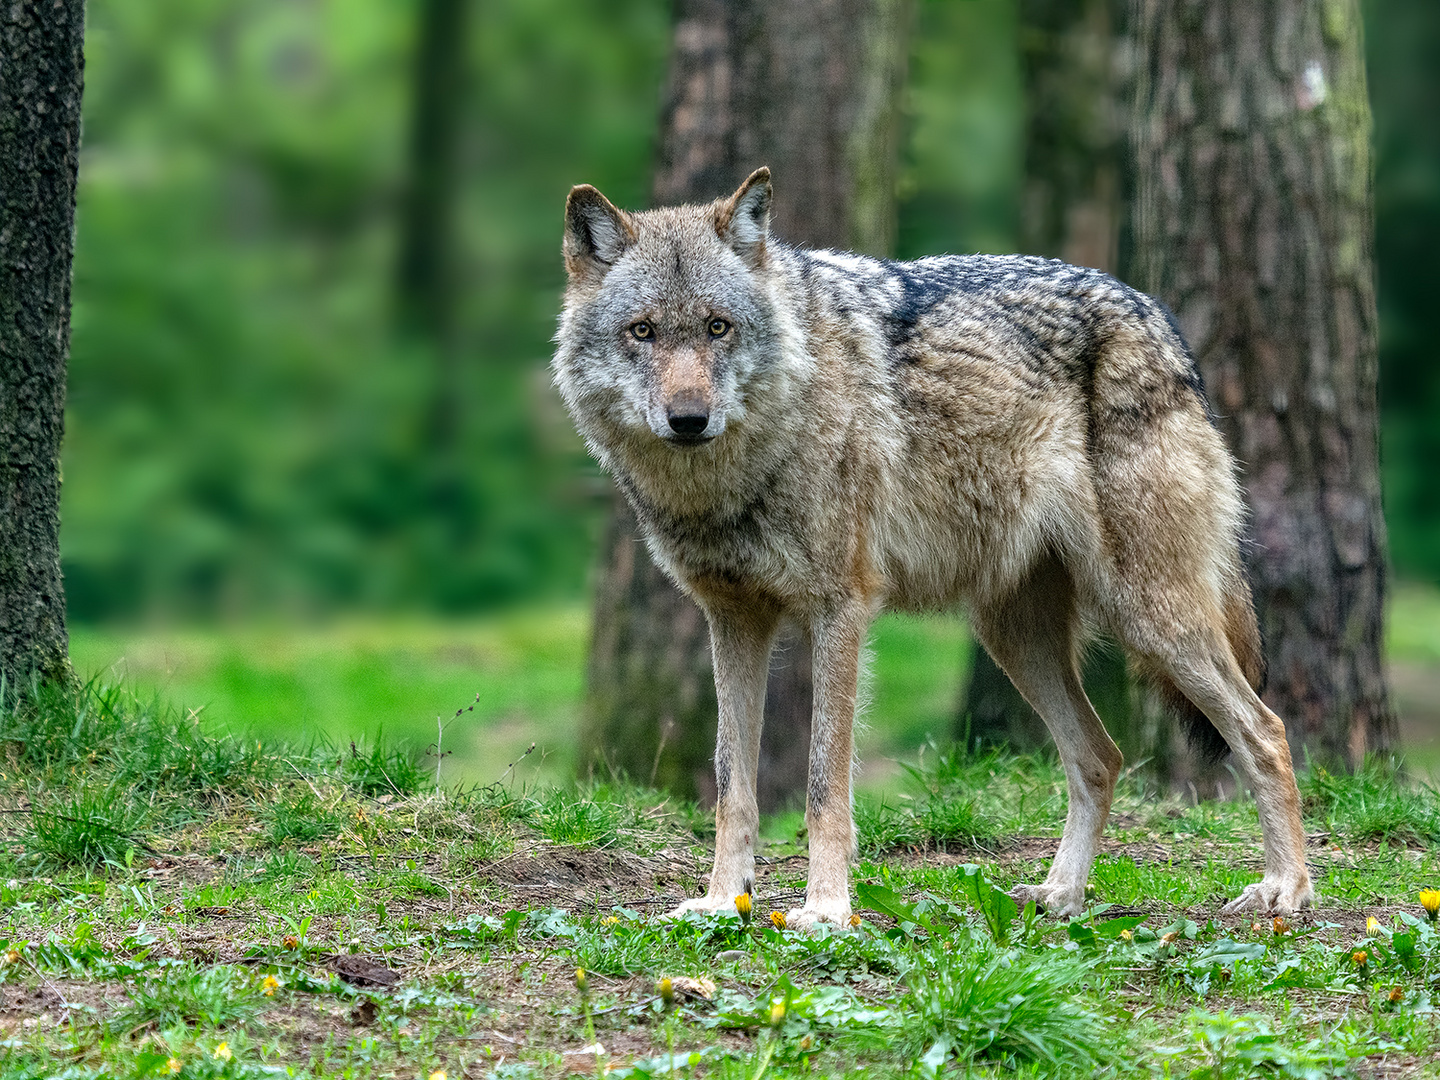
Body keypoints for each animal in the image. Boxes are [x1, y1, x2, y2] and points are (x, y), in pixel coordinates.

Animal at [550, 167, 1319, 933]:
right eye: (643, 331)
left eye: (718, 326)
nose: (688, 419)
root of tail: (1161, 321)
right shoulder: (733, 620)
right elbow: (729, 784)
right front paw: (719, 901)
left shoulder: (841, 610)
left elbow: (823, 785)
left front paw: (825, 908)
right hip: (1016, 637)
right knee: (1100, 757)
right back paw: (1061, 897)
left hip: (1150, 619)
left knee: (1266, 731)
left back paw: (1285, 890)